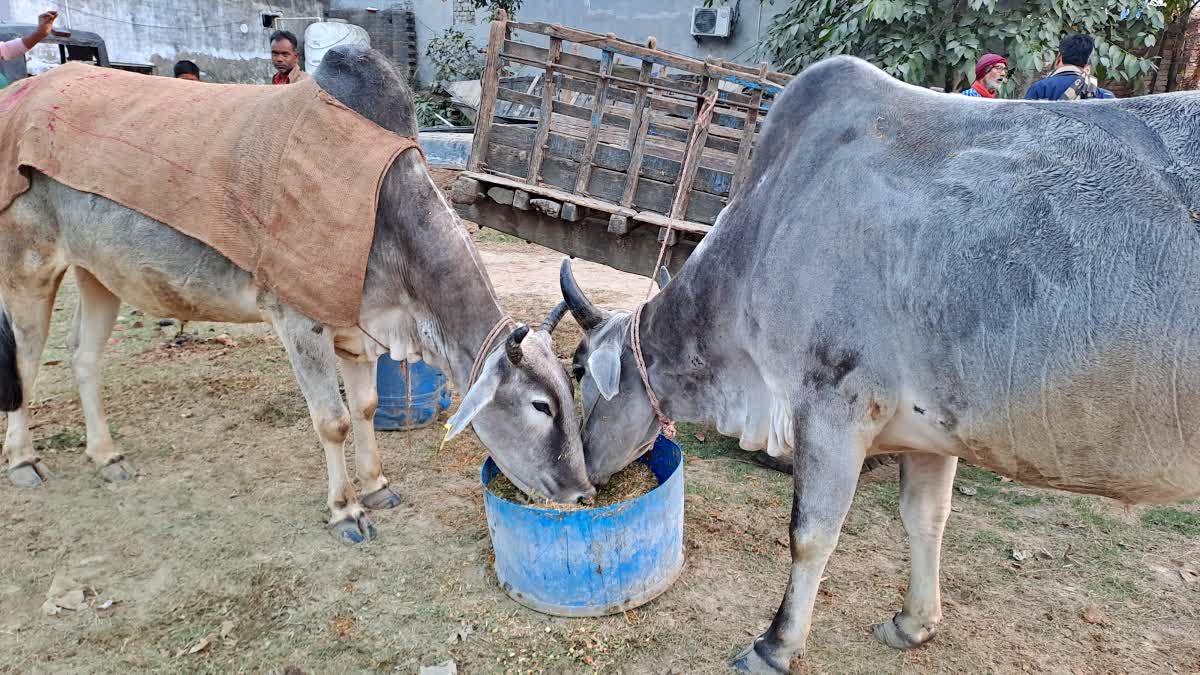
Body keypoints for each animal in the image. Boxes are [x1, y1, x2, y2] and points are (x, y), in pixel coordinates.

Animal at [556, 55, 1200, 667]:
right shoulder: (933, 430)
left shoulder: (833, 408)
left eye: (580, 370)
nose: (586, 478)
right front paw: (914, 623)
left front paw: (775, 645)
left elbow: (810, 534)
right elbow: (925, 517)